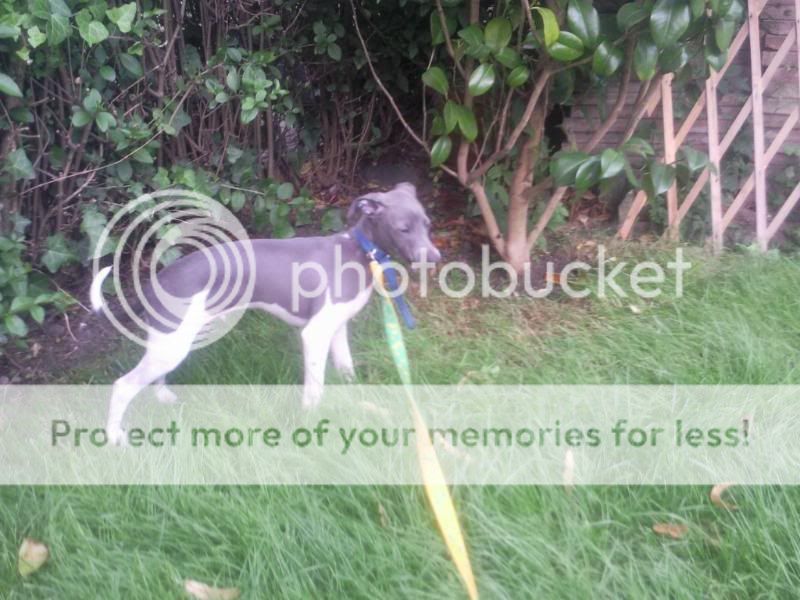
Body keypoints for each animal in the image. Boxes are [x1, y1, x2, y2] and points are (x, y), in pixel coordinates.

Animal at [92, 180, 444, 442]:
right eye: (403, 228)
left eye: (428, 225)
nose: (435, 258)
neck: (358, 250)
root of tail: (155, 282)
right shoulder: (315, 333)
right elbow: (315, 386)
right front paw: (312, 418)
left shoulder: (337, 327)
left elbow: (346, 367)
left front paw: (355, 395)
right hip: (173, 343)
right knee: (123, 386)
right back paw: (115, 438)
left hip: (175, 340)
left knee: (154, 375)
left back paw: (164, 399)